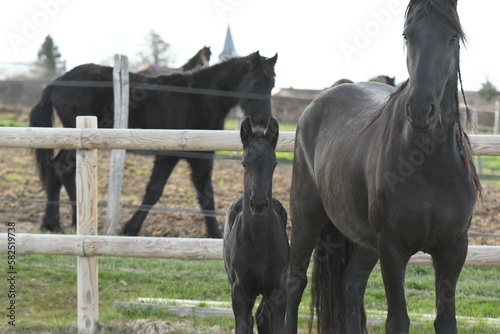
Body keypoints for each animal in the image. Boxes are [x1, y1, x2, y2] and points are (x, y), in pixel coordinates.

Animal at [29, 50, 278, 237]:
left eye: (272, 85)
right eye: (256, 83)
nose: (262, 122)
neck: (199, 98)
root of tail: (56, 83)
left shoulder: (202, 157)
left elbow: (206, 195)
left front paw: (216, 234)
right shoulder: (168, 156)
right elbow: (154, 191)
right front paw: (130, 228)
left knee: (56, 170)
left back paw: (52, 224)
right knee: (62, 168)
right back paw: (70, 221)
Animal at [286, 0, 480, 334]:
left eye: (453, 38)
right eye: (407, 36)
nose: (420, 110)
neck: (429, 167)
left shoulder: (454, 249)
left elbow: (445, 320)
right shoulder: (392, 248)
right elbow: (397, 320)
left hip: (364, 242)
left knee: (351, 285)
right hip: (306, 218)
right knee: (293, 284)